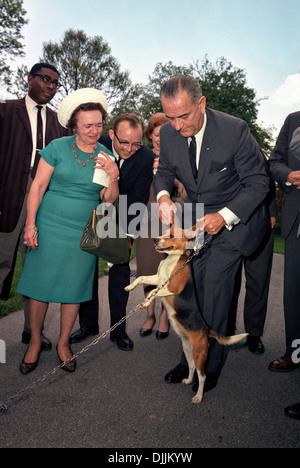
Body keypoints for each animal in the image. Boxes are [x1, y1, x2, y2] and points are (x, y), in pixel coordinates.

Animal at [125, 225, 247, 404]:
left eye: (170, 235)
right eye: (163, 231)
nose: (154, 239)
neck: (171, 259)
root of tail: (206, 329)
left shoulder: (171, 288)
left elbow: (154, 292)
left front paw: (146, 302)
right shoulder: (158, 279)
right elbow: (141, 278)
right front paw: (130, 287)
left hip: (200, 353)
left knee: (202, 376)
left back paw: (198, 396)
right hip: (188, 349)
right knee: (191, 367)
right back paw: (188, 380)